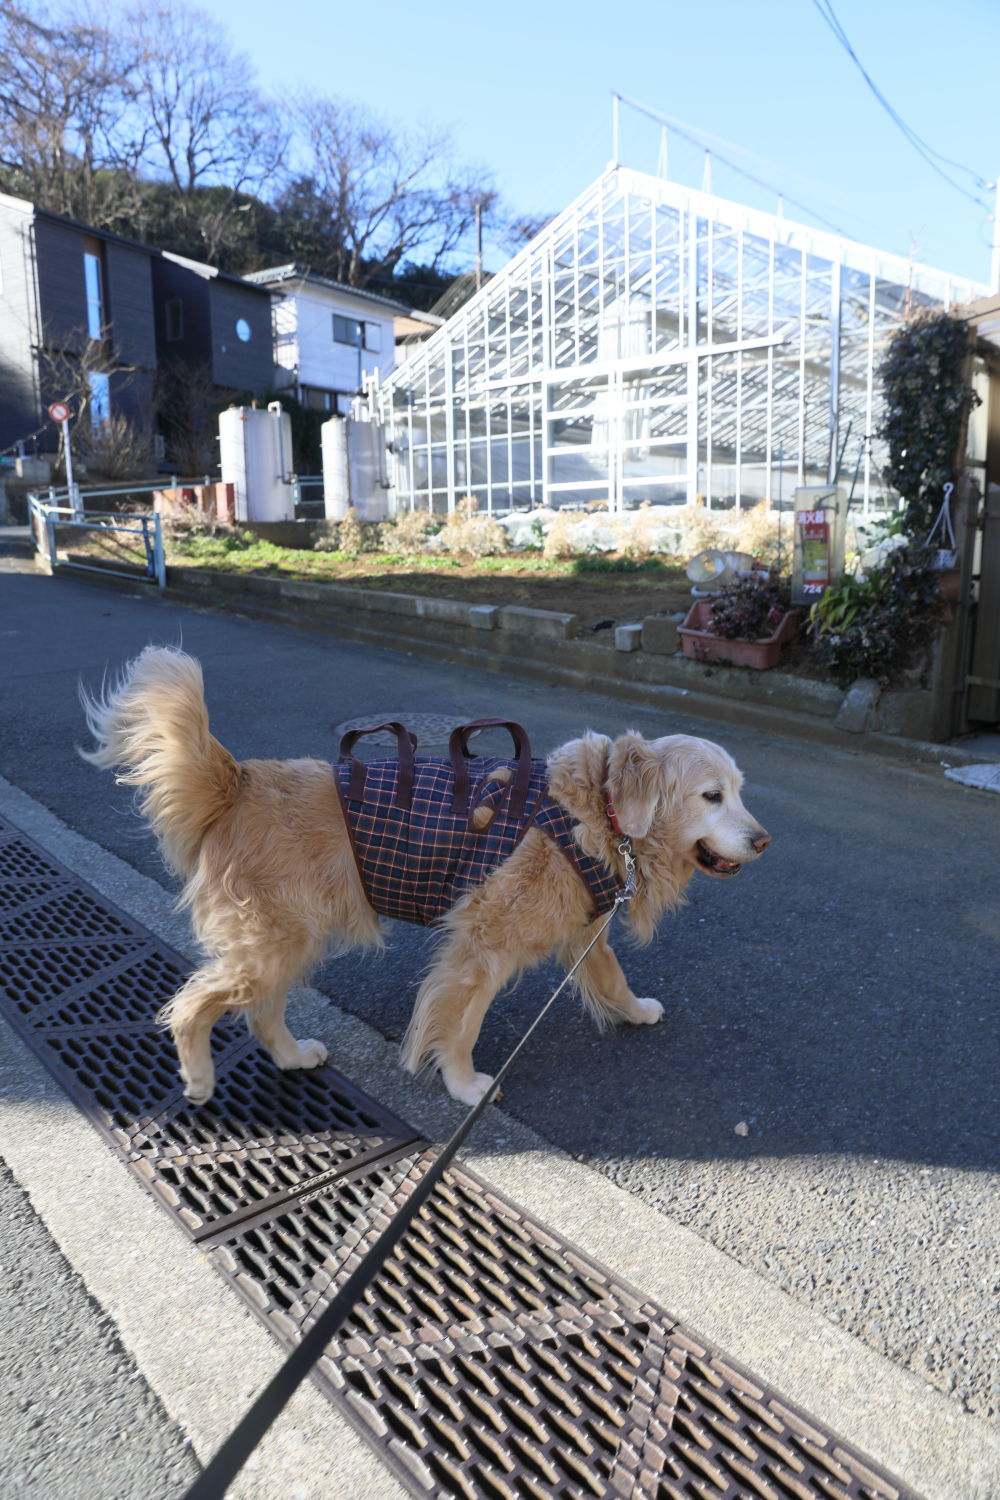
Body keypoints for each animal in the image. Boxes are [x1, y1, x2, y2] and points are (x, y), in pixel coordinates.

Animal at [82, 651, 773, 1110]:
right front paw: (465, 1086)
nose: (764, 840)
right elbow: (460, 1023)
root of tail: (236, 781)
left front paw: (634, 1012)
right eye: (712, 796)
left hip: (290, 938)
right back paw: (198, 1078)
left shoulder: (584, 932)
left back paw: (292, 1056)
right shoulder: (482, 946)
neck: (595, 813)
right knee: (194, 1004)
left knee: (260, 1012)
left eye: (741, 792)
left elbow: (613, 977)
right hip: (271, 940)